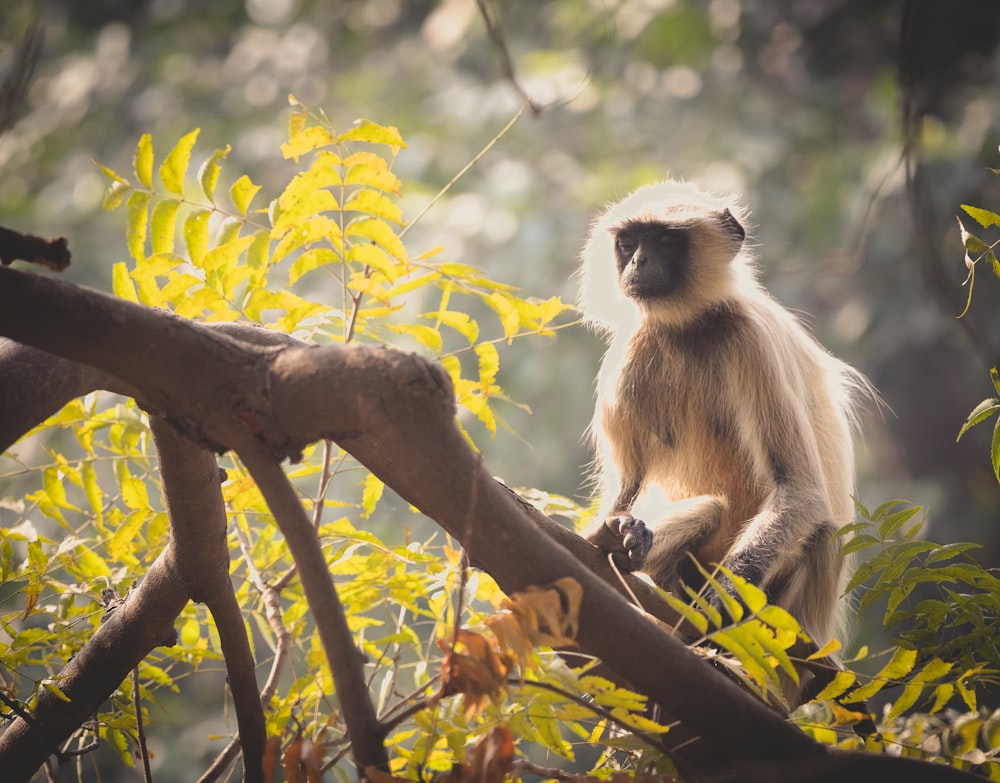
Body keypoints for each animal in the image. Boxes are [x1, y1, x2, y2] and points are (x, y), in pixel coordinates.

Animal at [584, 181, 872, 672]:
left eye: (665, 240)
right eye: (628, 243)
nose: (639, 262)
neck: (687, 328)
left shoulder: (749, 339)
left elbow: (801, 492)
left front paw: (724, 604)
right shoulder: (630, 351)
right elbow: (626, 486)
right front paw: (607, 534)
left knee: (817, 529)